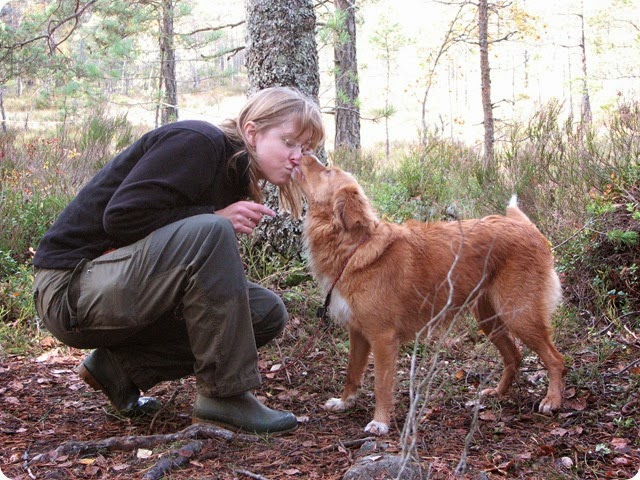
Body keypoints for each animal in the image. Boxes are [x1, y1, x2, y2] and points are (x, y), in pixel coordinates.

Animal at [292, 155, 564, 436]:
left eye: (327, 171)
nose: (302, 154)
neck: (354, 247)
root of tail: (525, 226)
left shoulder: (382, 338)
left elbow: (381, 385)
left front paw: (380, 421)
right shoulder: (357, 333)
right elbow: (351, 373)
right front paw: (344, 402)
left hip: (519, 315)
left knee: (556, 359)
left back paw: (552, 400)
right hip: (488, 319)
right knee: (514, 356)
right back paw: (497, 393)